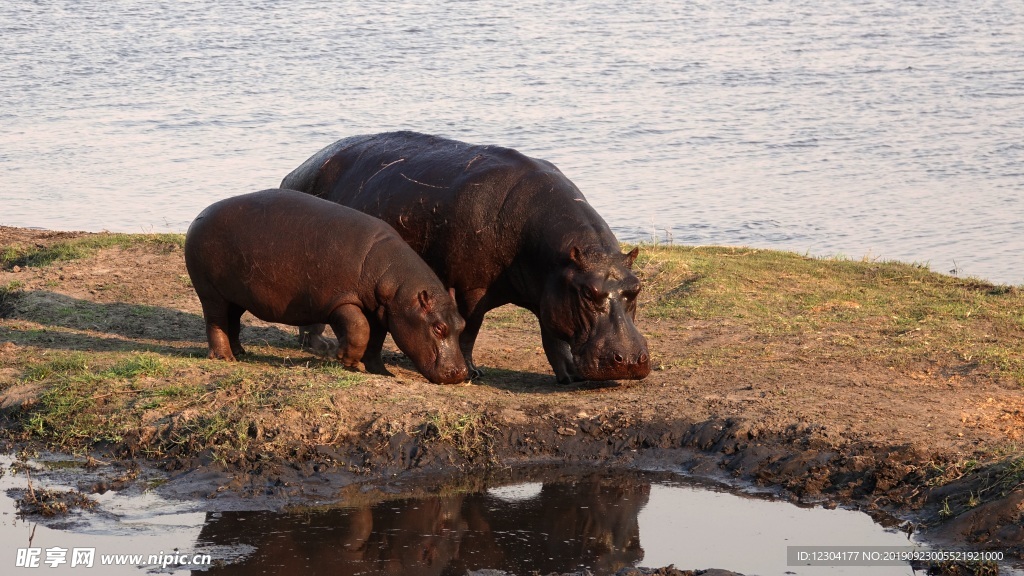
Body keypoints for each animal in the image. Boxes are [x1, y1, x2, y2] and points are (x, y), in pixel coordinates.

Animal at [183, 189, 468, 385]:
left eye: (462, 324)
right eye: (438, 327)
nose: (461, 372)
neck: (394, 285)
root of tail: (198, 217)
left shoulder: (380, 312)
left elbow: (375, 340)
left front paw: (380, 371)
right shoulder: (341, 301)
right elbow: (359, 329)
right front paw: (346, 359)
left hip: (236, 296)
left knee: (232, 320)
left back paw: (240, 352)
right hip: (210, 293)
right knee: (216, 322)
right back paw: (224, 358)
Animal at [280, 130, 647, 381]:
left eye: (635, 288)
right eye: (588, 292)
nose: (629, 361)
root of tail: (295, 171)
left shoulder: (550, 291)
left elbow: (552, 334)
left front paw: (568, 375)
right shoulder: (474, 287)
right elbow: (471, 327)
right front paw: (472, 371)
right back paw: (316, 345)